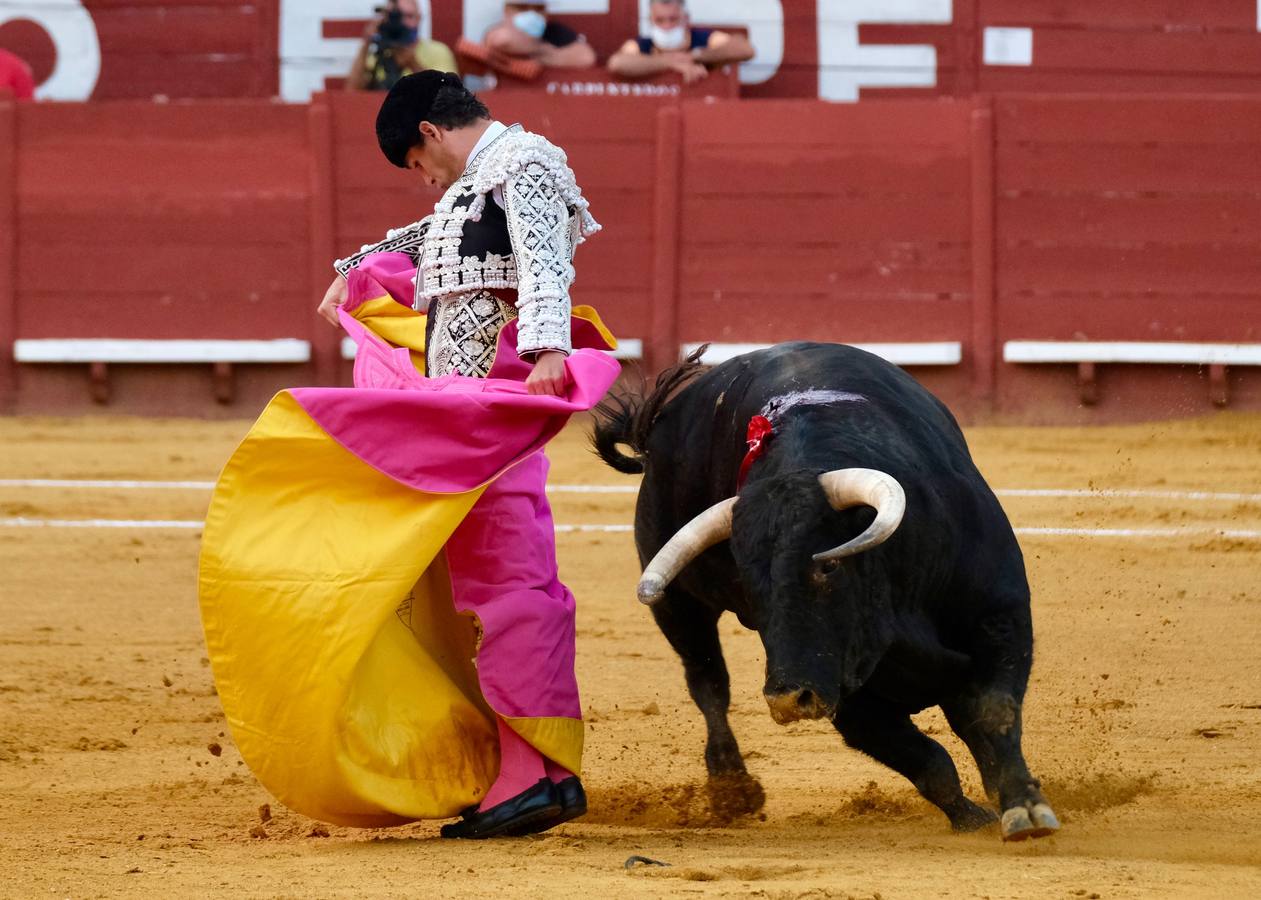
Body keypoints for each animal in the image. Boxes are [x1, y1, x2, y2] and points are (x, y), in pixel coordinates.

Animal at [595, 340, 1059, 836]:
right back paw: (732, 790)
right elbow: (928, 761)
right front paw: (973, 818)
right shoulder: (844, 690)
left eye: (830, 565)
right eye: (750, 586)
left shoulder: (1001, 619)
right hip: (678, 605)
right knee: (708, 682)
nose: (786, 701)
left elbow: (992, 711)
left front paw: (1024, 807)